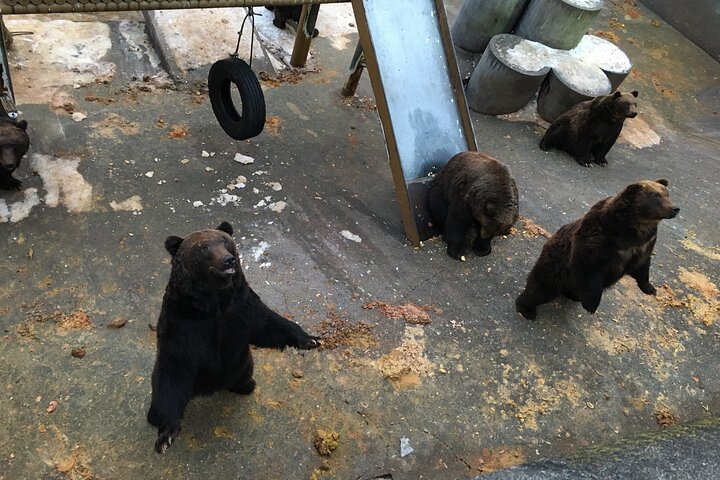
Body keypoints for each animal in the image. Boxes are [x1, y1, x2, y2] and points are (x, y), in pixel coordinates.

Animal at [147, 221, 320, 454]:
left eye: (225, 241)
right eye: (203, 248)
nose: (228, 259)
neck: (214, 302)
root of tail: (208, 389)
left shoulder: (240, 305)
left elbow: (268, 324)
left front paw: (311, 339)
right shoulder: (183, 321)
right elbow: (174, 370)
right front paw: (166, 434)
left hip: (243, 363)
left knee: (244, 372)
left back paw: (246, 385)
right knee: (166, 393)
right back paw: (162, 429)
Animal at [515, 179, 679, 320]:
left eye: (667, 194)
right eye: (656, 196)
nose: (675, 208)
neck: (632, 230)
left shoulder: (644, 244)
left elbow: (642, 265)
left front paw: (650, 288)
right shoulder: (600, 238)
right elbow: (589, 266)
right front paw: (591, 305)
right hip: (556, 265)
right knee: (541, 287)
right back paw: (527, 309)